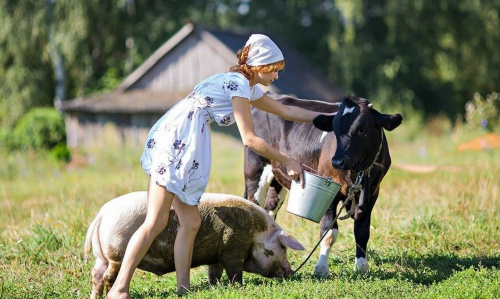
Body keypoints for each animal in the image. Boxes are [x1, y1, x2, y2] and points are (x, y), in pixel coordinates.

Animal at [85, 193, 304, 298]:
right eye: (282, 247)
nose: (290, 272)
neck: (257, 233)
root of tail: (101, 215)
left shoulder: (216, 255)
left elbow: (214, 272)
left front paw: (215, 286)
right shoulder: (233, 247)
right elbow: (235, 271)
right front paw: (238, 286)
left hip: (101, 258)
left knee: (96, 276)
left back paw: (95, 297)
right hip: (117, 254)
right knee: (108, 277)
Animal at [243, 94, 402, 276]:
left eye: (362, 129)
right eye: (335, 129)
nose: (337, 161)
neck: (357, 173)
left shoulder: (373, 193)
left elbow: (362, 232)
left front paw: (361, 267)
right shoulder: (330, 194)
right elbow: (329, 232)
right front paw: (321, 268)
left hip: (278, 179)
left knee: (270, 209)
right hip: (255, 169)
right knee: (254, 203)